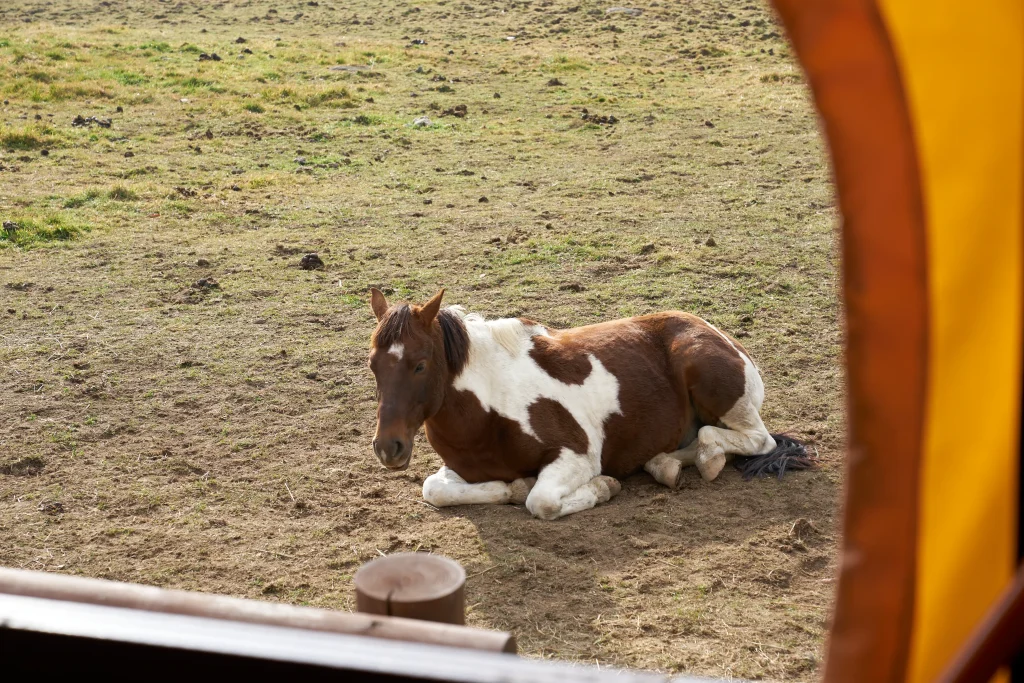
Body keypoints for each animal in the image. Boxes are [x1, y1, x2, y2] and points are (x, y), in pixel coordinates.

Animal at [368, 286, 815, 518]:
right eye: (372, 364)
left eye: (420, 365)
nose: (389, 448)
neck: (487, 410)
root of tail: (718, 333)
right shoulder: (457, 471)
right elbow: (435, 491)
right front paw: (512, 486)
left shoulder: (576, 456)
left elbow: (542, 501)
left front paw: (601, 488)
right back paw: (665, 464)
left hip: (717, 388)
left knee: (752, 440)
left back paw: (704, 460)